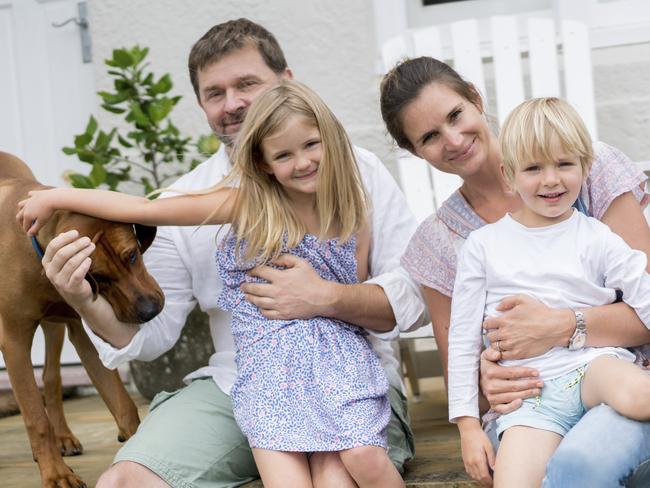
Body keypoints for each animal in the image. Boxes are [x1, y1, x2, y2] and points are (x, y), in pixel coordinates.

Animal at [0, 151, 165, 486]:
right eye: (98, 277)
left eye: (132, 255)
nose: (149, 311)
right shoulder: (13, 341)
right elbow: (35, 418)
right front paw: (55, 474)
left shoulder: (87, 327)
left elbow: (122, 402)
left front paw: (135, 440)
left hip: (56, 326)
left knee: (51, 378)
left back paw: (63, 436)